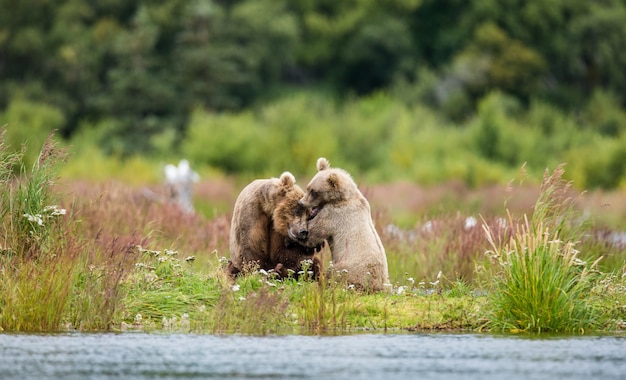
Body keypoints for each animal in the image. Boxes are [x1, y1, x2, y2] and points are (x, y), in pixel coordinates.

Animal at [294, 157, 388, 290]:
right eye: (308, 188)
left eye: (314, 192)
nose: (300, 203)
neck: (342, 197)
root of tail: (380, 285)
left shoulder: (334, 214)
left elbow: (312, 235)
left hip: (349, 269)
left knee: (333, 273)